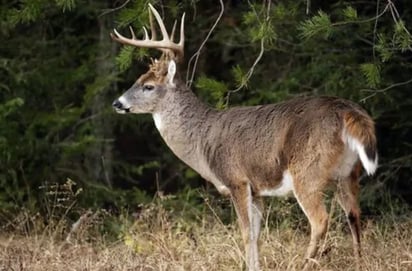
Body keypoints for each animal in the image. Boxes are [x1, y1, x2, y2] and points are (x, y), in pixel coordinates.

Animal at [111, 4, 378, 271]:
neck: (201, 140)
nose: (117, 103)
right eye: (138, 80)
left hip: (307, 171)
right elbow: (257, 235)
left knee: (320, 220)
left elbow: (246, 233)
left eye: (148, 86)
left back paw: (304, 263)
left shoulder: (236, 179)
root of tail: (347, 111)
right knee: (354, 215)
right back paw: (360, 262)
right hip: (348, 172)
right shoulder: (257, 190)